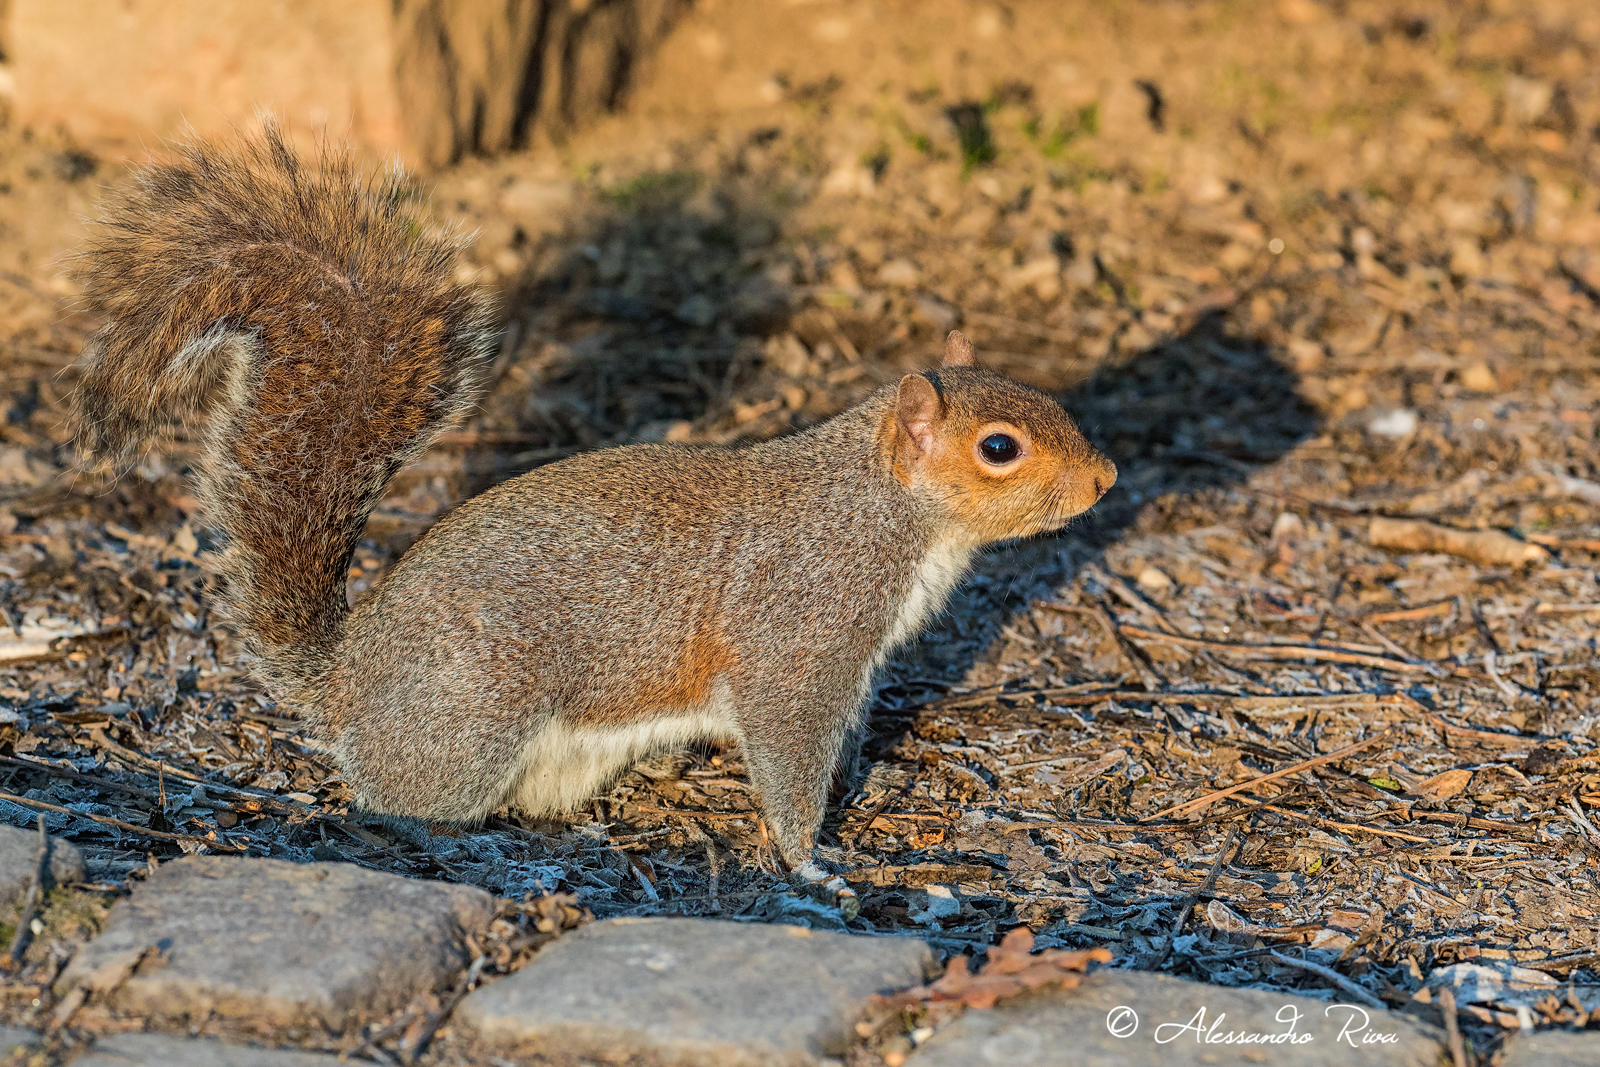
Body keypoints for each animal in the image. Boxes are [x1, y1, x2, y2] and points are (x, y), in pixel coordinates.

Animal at [70, 128, 1117, 869]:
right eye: (998, 448)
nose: (1105, 479)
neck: (886, 510)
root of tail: (345, 680)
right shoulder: (798, 637)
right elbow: (786, 752)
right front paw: (809, 859)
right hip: (475, 712)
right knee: (403, 796)